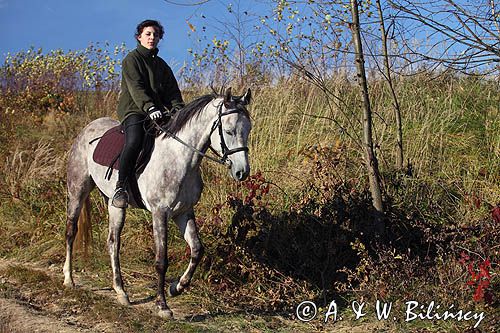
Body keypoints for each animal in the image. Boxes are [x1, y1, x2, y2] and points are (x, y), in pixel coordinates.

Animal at [62, 88, 252, 316]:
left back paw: (121, 291)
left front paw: (177, 288)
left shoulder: (184, 212)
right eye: (230, 131)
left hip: (115, 204)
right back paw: (68, 278)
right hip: (77, 191)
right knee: (71, 231)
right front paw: (162, 305)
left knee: (113, 242)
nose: (242, 172)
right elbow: (161, 261)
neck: (179, 158)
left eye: (248, 130)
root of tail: (87, 129)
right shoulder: (160, 213)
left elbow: (197, 250)